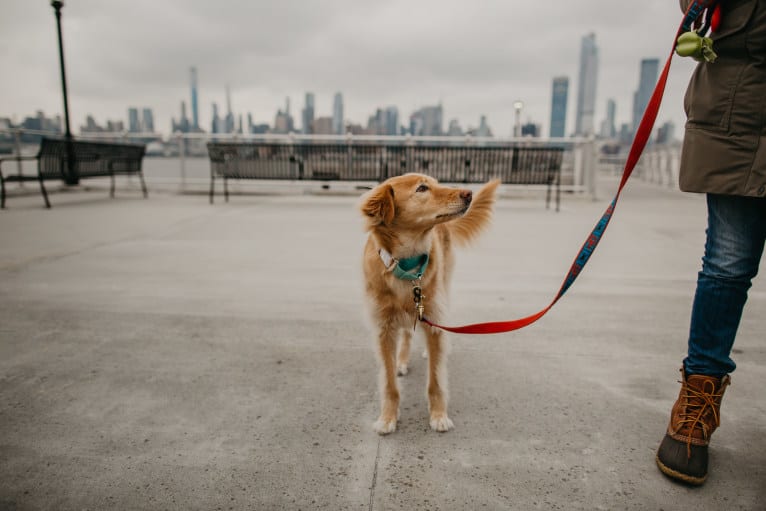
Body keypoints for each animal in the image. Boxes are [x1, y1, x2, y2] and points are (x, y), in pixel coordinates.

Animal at [362, 174, 500, 434]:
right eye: (422, 188)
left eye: (435, 183)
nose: (468, 193)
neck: (406, 269)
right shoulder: (383, 330)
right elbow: (389, 383)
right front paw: (387, 417)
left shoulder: (434, 322)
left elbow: (435, 380)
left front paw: (438, 415)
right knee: (407, 333)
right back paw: (401, 361)